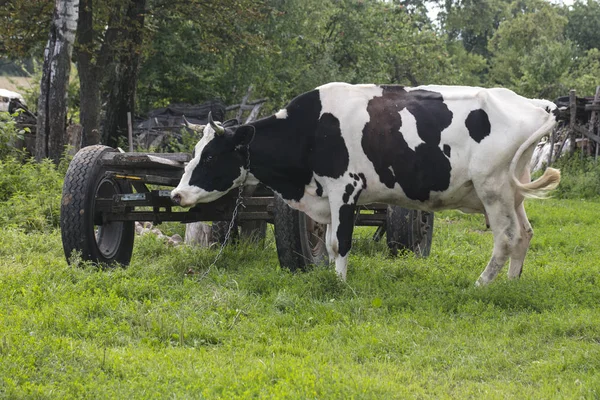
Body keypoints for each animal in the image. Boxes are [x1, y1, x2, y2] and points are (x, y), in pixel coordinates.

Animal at [171, 83, 560, 286]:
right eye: (193, 153)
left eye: (210, 157)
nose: (176, 194)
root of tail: (536, 104)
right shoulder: (326, 198)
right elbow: (329, 243)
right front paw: (332, 278)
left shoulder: (345, 189)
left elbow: (340, 243)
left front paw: (340, 285)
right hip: (513, 193)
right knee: (524, 234)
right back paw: (511, 283)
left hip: (493, 190)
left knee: (506, 238)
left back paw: (480, 285)